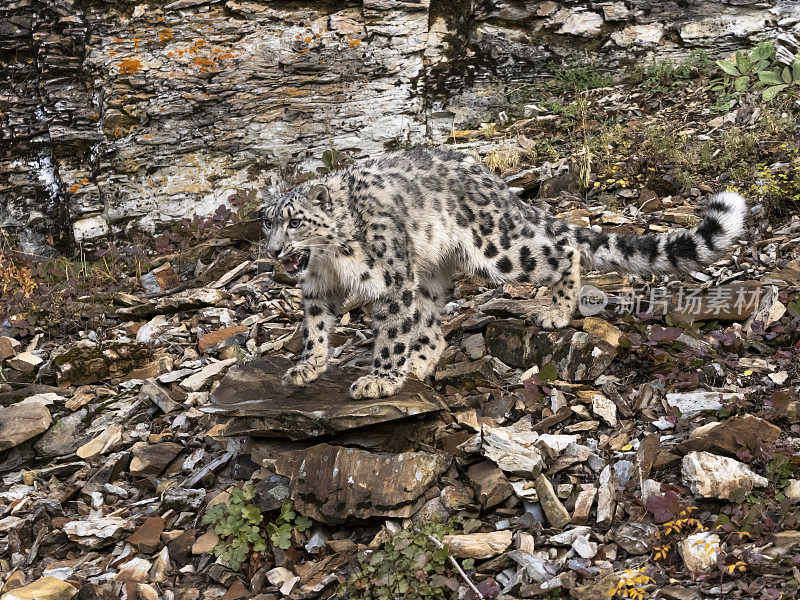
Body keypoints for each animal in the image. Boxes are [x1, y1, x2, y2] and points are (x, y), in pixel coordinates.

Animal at [260, 146, 744, 398]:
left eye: (295, 222)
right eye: (267, 221)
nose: (274, 250)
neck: (328, 260)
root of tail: (497, 183)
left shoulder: (393, 281)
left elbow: (392, 333)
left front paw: (380, 378)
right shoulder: (318, 289)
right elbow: (315, 327)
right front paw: (307, 366)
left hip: (500, 249)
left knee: (564, 250)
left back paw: (556, 311)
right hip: (431, 273)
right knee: (431, 325)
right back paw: (419, 363)